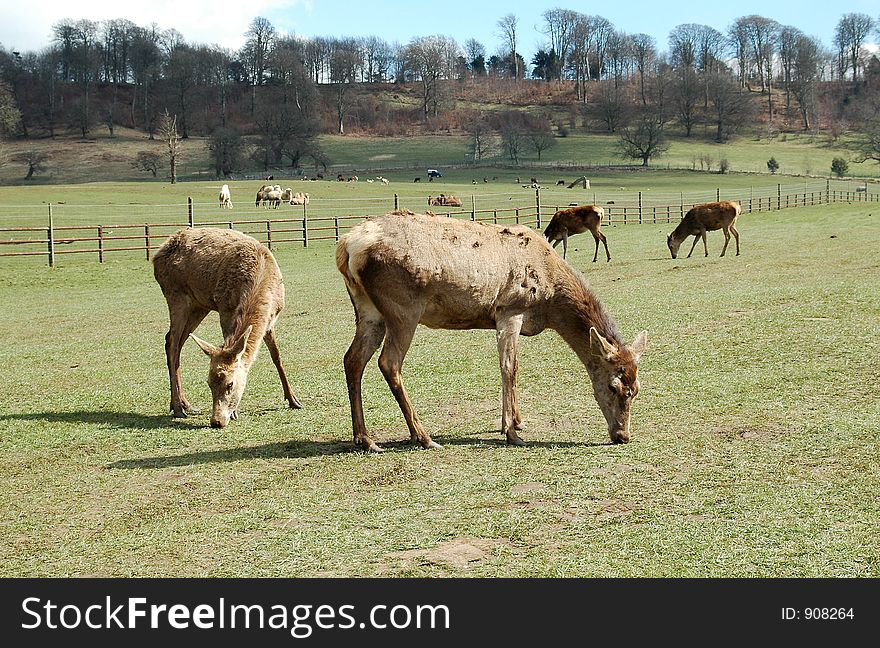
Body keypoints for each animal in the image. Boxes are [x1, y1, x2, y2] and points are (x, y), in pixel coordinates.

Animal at [151, 225, 302, 428]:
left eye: (230, 384)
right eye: (208, 383)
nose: (216, 421)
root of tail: (156, 256)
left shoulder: (270, 321)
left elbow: (276, 356)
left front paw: (294, 400)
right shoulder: (225, 310)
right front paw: (236, 412)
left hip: (199, 305)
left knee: (177, 342)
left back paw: (185, 404)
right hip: (175, 294)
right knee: (172, 342)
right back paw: (177, 408)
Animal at [336, 210, 648, 454]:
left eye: (637, 389)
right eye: (614, 386)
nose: (622, 435)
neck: (550, 299)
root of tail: (347, 246)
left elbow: (511, 367)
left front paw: (516, 421)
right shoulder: (510, 309)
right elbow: (510, 367)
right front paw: (511, 432)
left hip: (368, 311)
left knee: (352, 359)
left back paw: (365, 439)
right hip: (404, 308)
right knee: (389, 362)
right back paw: (423, 437)